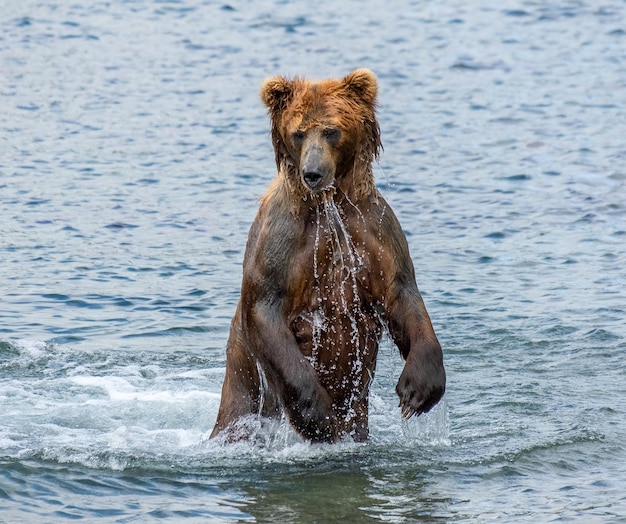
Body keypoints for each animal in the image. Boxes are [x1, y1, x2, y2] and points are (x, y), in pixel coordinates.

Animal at [210, 68, 444, 442]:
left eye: (331, 130)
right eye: (298, 132)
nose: (313, 173)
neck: (328, 206)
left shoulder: (374, 230)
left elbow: (401, 293)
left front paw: (417, 391)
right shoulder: (282, 241)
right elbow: (266, 308)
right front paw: (318, 415)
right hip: (243, 391)